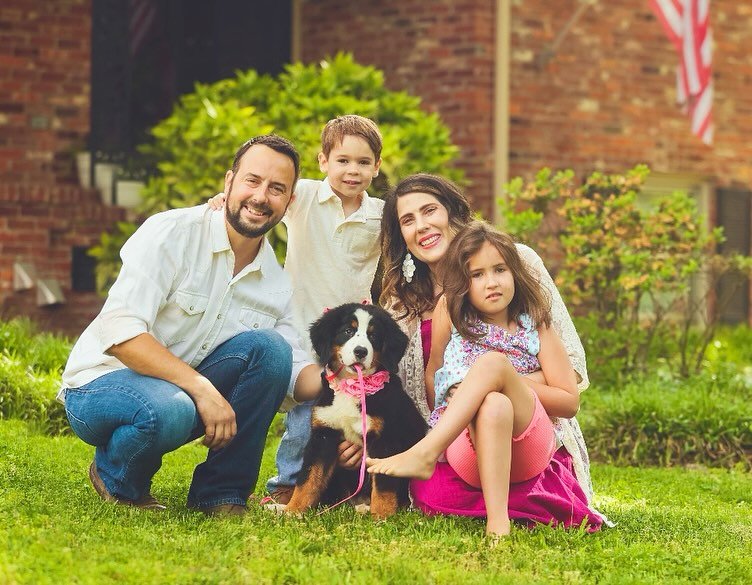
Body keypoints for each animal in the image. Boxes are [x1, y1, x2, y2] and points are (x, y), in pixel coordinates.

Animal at [286, 304, 428, 516]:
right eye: (347, 331)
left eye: (374, 336)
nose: (360, 351)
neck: (351, 386)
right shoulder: (323, 435)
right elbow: (308, 479)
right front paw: (292, 511)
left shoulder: (386, 439)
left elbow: (384, 484)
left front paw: (381, 516)